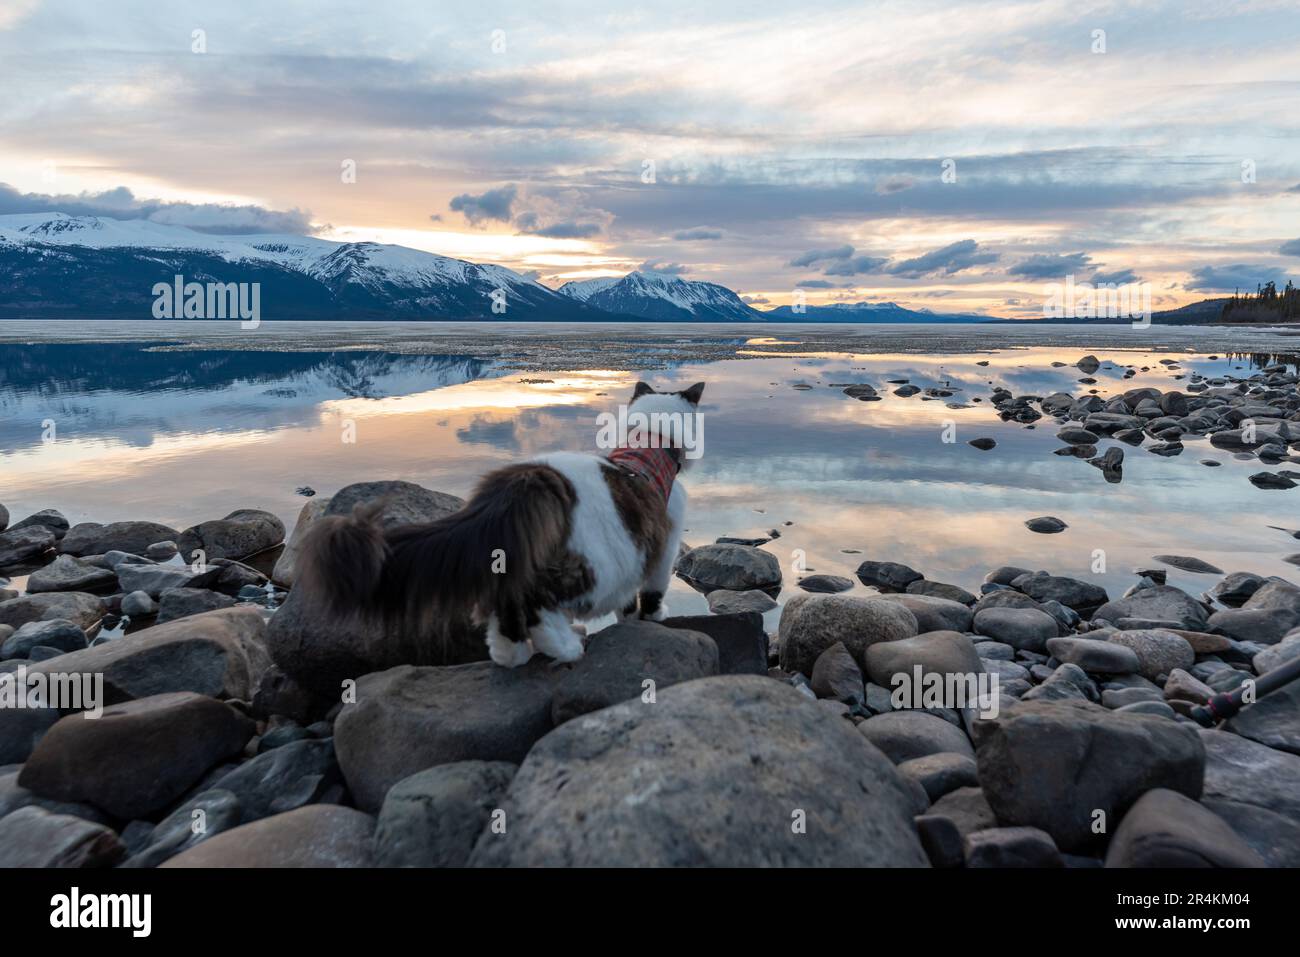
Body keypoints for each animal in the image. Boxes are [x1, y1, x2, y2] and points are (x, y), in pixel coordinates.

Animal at [297, 379, 707, 665]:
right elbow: (652, 592)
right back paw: (564, 646)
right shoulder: (664, 543)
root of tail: (527, 479)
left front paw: (630, 622)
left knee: (503, 606)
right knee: (538, 602)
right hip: (595, 563)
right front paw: (652, 618)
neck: (650, 443)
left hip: (511, 556)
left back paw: (513, 653)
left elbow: (627, 605)